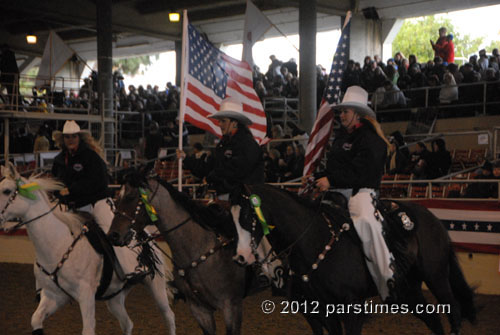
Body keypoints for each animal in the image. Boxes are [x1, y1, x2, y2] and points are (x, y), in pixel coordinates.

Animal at [0, 164, 176, 335]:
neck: (57, 245)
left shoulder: (86, 296)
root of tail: (146, 236)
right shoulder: (53, 295)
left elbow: (88, 329)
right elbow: (36, 319)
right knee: (127, 324)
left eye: (6, 190)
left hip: (156, 286)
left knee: (169, 317)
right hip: (115, 298)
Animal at [230, 184, 476, 335]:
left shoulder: (352, 309)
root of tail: (433, 219)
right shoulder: (323, 312)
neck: (314, 241)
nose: (240, 256)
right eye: (230, 218)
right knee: (433, 319)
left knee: (453, 311)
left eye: (247, 215)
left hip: (436, 277)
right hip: (410, 290)